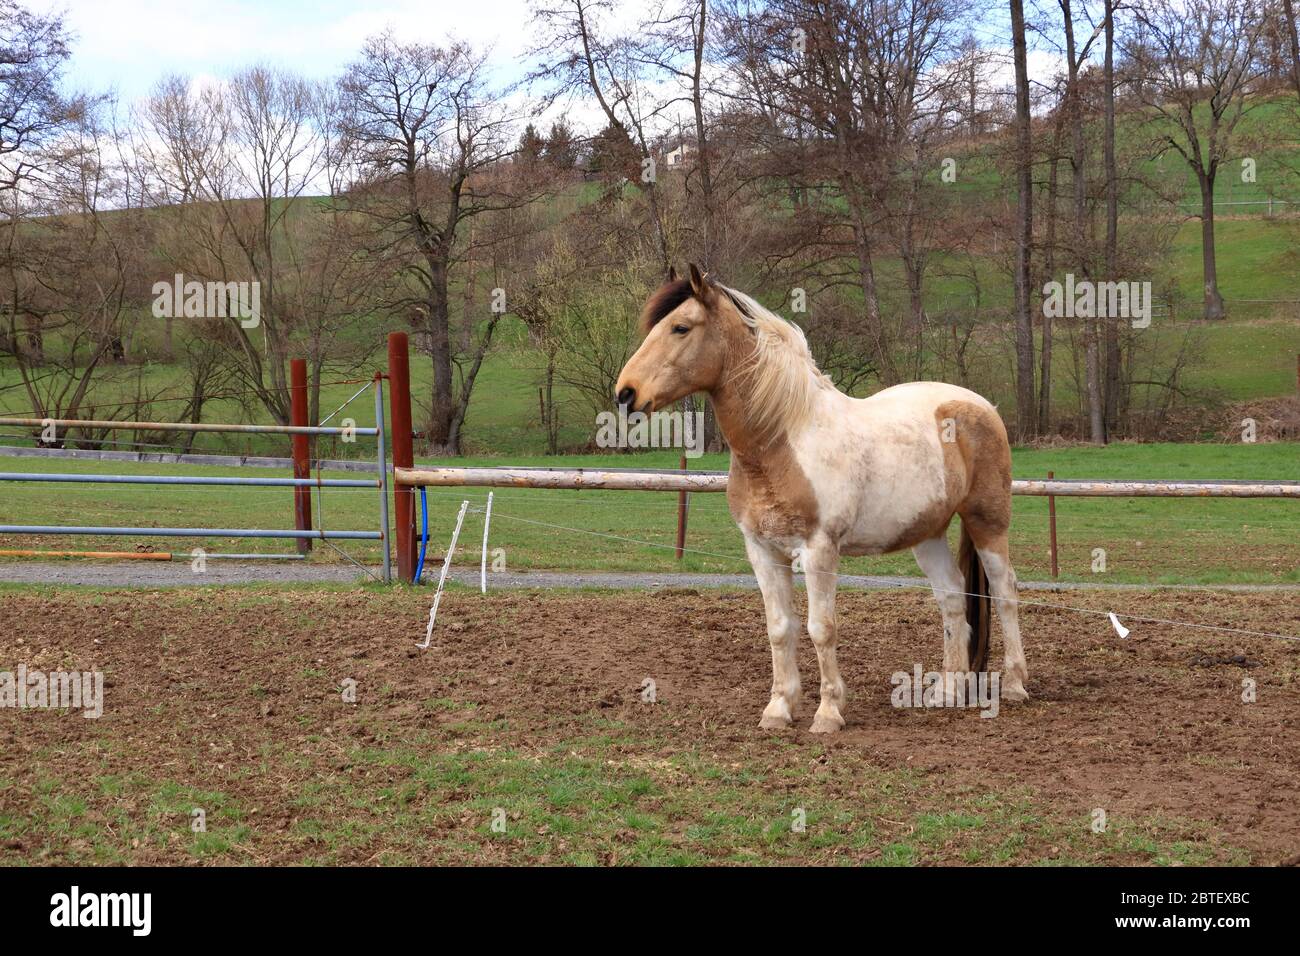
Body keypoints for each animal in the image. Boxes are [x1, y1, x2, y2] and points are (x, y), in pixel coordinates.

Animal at [614, 265, 1029, 733]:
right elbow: (780, 628)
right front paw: (778, 709)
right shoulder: (762, 551)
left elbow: (821, 628)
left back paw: (1015, 685)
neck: (780, 441)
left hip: (987, 521)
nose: (626, 393)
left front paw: (828, 712)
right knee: (953, 597)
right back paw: (948, 691)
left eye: (681, 327)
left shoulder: (818, 550)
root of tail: (982, 406)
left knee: (1005, 590)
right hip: (928, 535)